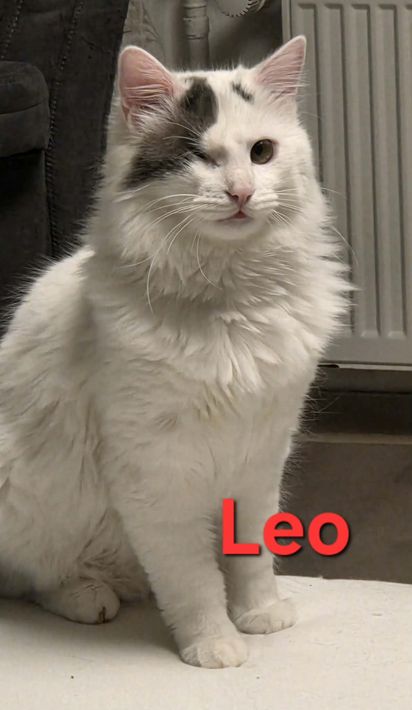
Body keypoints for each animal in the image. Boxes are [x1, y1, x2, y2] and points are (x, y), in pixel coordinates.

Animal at [0, 36, 347, 668]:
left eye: (261, 153)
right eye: (198, 157)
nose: (241, 192)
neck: (231, 304)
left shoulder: (260, 457)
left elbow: (251, 558)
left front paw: (258, 615)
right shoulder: (156, 474)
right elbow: (192, 580)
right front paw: (213, 644)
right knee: (29, 579)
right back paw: (90, 597)